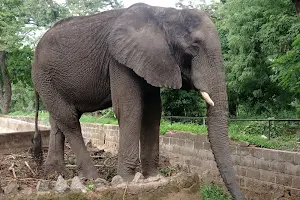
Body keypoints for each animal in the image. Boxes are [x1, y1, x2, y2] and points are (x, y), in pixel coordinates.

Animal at [30, 2, 241, 199]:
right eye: (194, 47)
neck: (163, 13)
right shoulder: (118, 60)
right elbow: (129, 108)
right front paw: (127, 180)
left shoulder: (152, 60)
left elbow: (153, 112)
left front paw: (153, 177)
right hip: (44, 76)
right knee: (69, 120)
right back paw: (93, 178)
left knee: (58, 120)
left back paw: (57, 173)